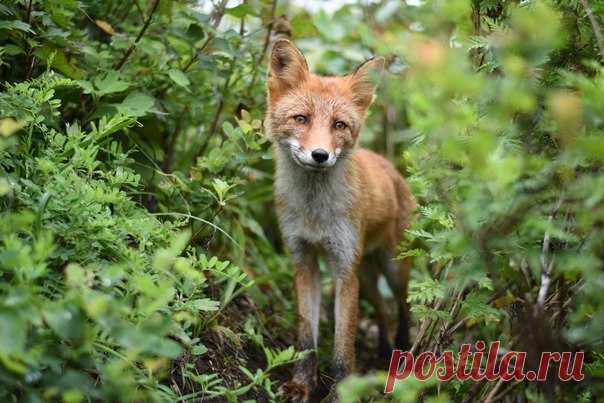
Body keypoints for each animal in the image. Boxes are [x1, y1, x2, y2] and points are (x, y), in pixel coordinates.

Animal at [266, 38, 418, 403]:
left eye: (339, 125)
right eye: (301, 118)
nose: (320, 155)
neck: (314, 213)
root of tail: (391, 167)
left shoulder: (344, 268)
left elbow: (343, 346)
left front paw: (341, 392)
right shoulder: (304, 261)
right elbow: (306, 337)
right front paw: (301, 385)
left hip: (392, 268)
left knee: (402, 307)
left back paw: (401, 352)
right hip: (367, 273)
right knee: (383, 310)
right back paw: (383, 347)